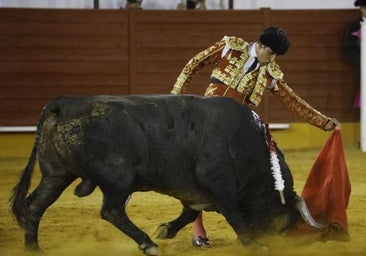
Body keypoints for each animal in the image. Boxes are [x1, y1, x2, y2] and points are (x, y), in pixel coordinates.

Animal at [10, 95, 322, 255]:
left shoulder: (194, 189)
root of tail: (64, 104)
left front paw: (167, 229)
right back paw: (149, 245)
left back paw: (33, 248)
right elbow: (233, 214)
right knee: (111, 210)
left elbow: (190, 211)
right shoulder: (217, 180)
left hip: (56, 175)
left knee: (35, 207)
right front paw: (254, 244)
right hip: (117, 177)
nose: (278, 242)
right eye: (283, 223)